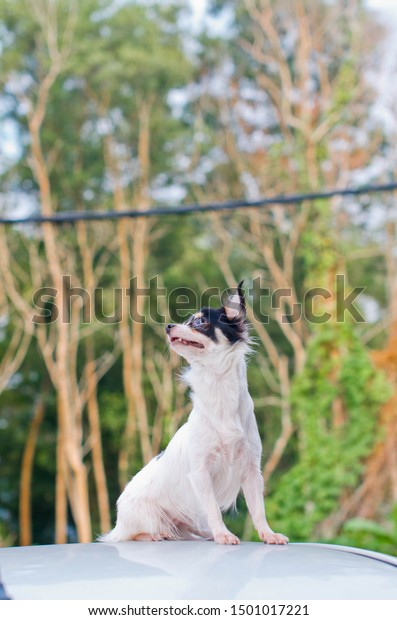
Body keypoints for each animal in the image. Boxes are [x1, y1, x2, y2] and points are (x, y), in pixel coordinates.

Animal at [100, 284, 288, 544]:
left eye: (199, 322)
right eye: (186, 321)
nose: (168, 325)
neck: (219, 389)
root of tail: (119, 522)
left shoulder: (251, 471)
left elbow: (258, 509)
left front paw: (267, 534)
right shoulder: (201, 473)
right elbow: (212, 509)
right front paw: (223, 534)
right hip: (145, 516)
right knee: (135, 534)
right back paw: (159, 534)